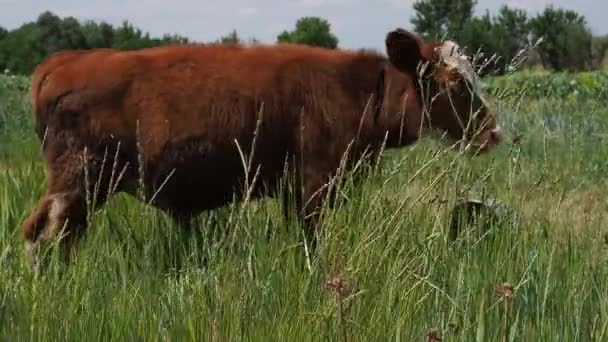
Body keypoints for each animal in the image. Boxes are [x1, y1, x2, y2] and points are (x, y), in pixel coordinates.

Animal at [21, 28, 502, 270]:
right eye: (455, 84)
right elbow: (311, 243)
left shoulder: (295, 190)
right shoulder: (315, 185)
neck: (358, 89)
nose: (494, 133)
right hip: (78, 182)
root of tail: (65, 60)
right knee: (45, 235)